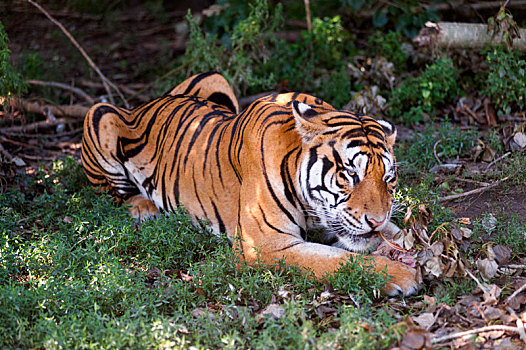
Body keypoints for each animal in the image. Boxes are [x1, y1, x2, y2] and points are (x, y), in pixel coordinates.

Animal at [82, 72, 420, 296]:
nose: (375, 221)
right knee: (111, 193)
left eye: (388, 177)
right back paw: (142, 207)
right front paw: (403, 275)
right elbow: (339, 260)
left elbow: (397, 234)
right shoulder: (264, 246)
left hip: (213, 78)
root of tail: (145, 104)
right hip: (99, 114)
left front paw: (411, 249)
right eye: (350, 174)